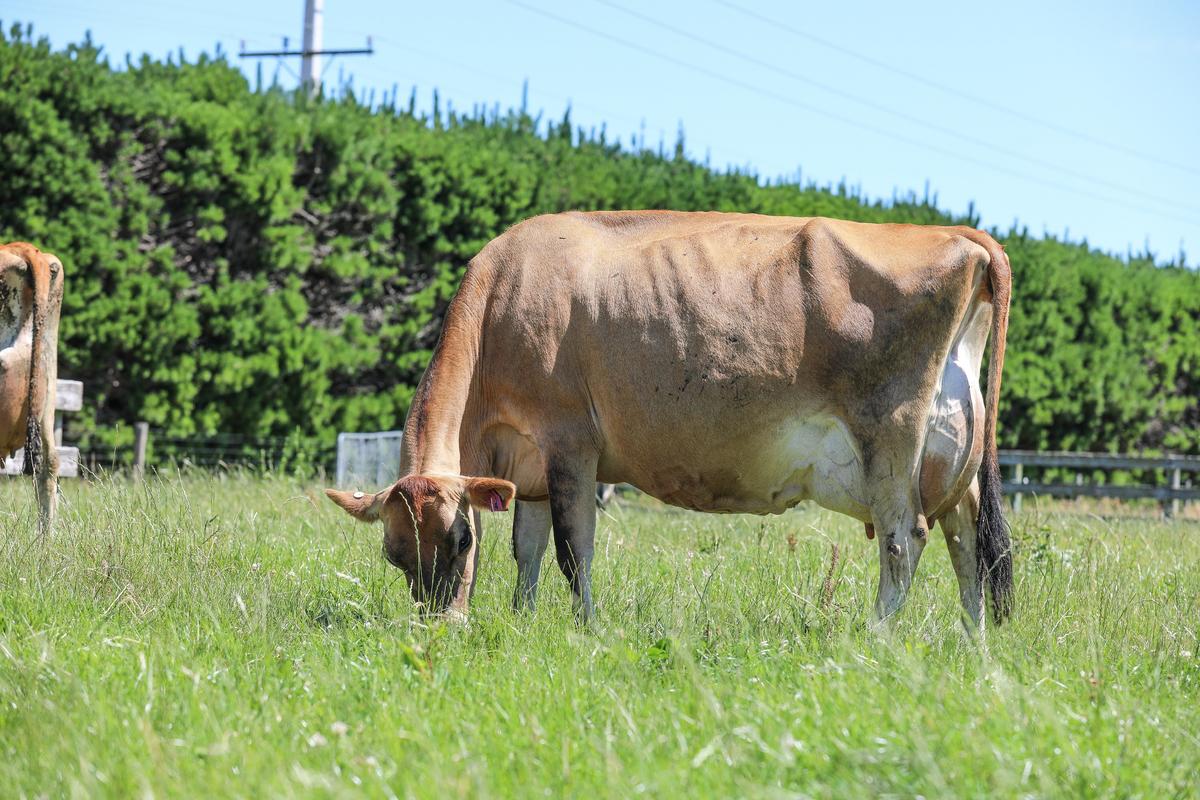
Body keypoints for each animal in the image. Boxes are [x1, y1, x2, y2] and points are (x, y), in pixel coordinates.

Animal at [326, 211, 1012, 623]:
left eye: (462, 539)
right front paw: (523, 620)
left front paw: (584, 628)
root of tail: (961, 236)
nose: (441, 624)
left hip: (890, 435)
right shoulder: (530, 467)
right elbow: (528, 548)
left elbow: (574, 550)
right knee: (968, 543)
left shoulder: (570, 442)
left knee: (905, 539)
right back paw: (972, 645)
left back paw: (874, 638)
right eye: (394, 555)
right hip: (952, 455)